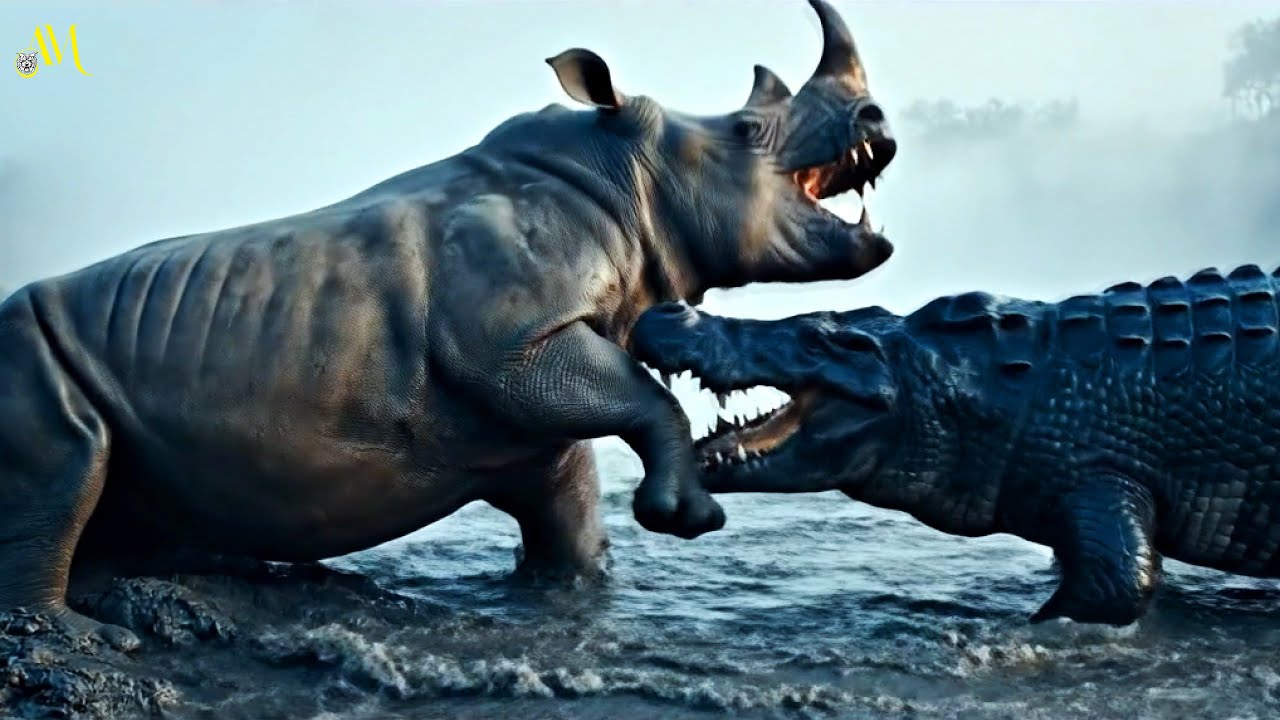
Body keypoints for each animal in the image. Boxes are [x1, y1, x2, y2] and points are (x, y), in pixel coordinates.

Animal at [0, 0, 895, 649]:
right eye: (747, 130)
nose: (876, 121)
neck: (630, 174)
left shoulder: (532, 407)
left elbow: (572, 507)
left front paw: (567, 597)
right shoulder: (508, 349)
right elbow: (646, 398)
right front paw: (688, 518)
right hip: (27, 354)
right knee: (66, 471)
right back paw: (77, 638)